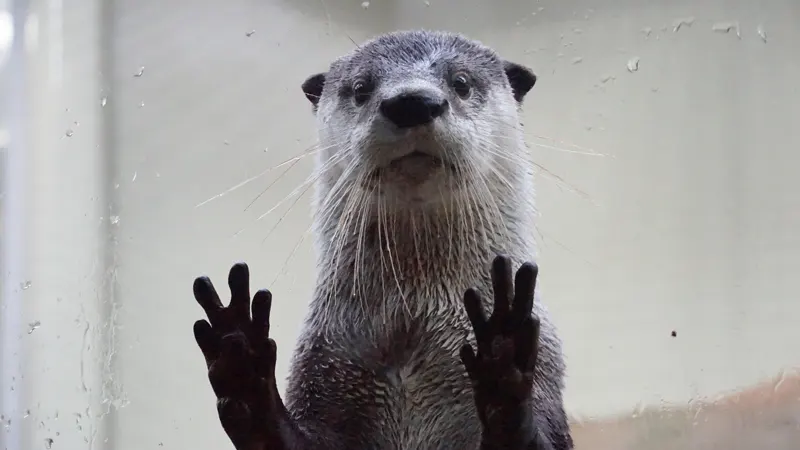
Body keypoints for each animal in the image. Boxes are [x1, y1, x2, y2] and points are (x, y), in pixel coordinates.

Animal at [190, 30, 573, 450]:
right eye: (361, 88)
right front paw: (240, 359)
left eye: (462, 82)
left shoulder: (546, 368)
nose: (412, 101)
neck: (412, 326)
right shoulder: (324, 366)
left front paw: (503, 358)